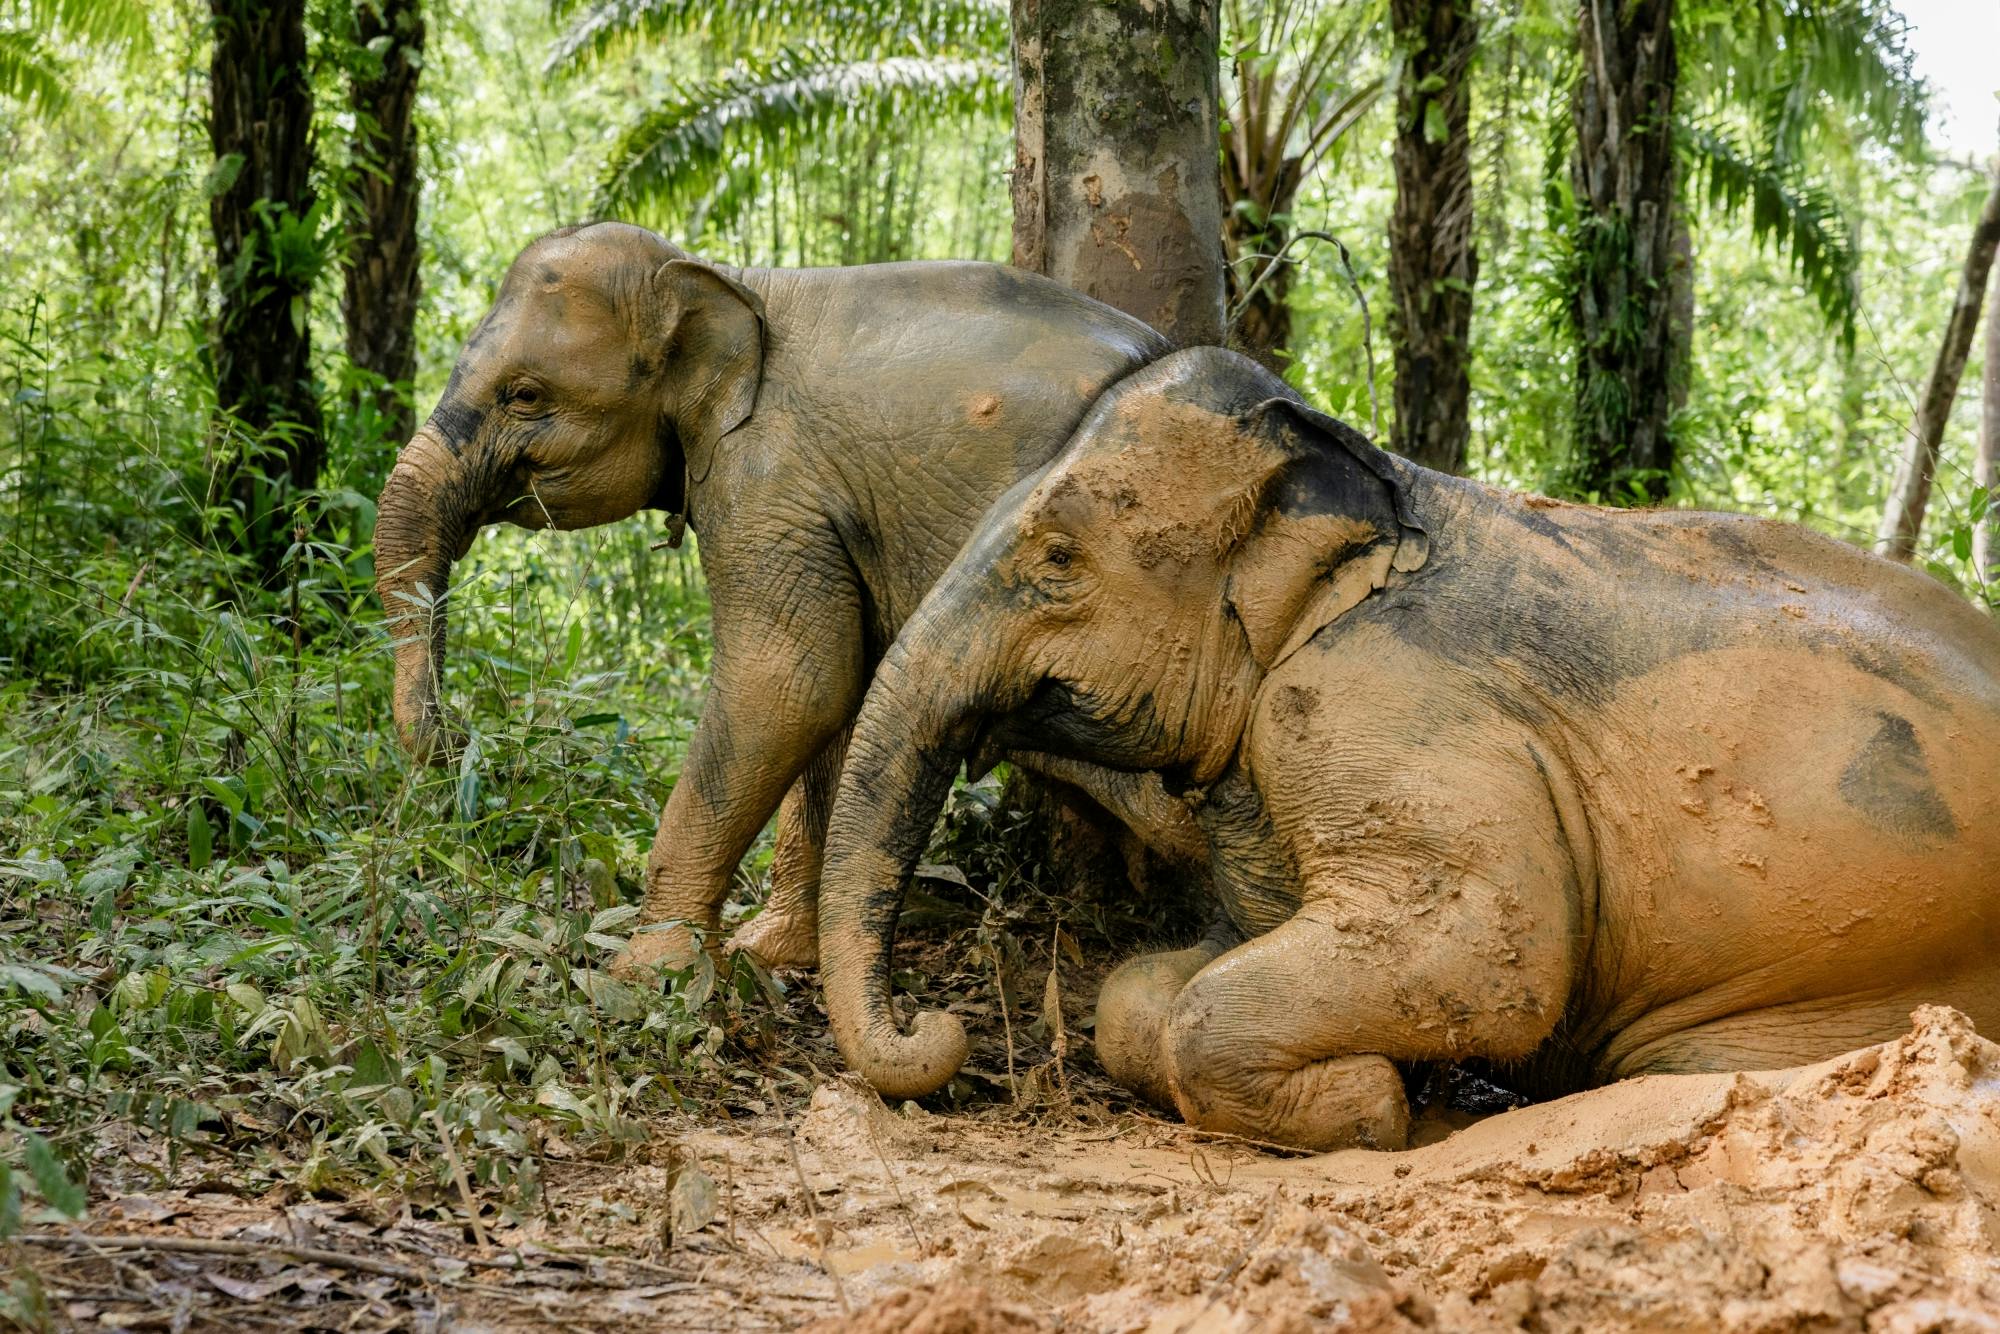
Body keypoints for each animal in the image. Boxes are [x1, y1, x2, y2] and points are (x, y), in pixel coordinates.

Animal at [373, 220, 1181, 973]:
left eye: (525, 395)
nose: (458, 742)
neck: (731, 281)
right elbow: (850, 687)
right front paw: (773, 952)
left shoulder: (769, 480)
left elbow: (791, 680)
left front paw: (652, 974)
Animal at [814, 345, 2000, 1152]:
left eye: (1057, 558)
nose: (929, 1026)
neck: (1373, 482)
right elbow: (1145, 993)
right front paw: (1389, 1079)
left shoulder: (1368, 705)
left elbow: (1496, 954)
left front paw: (1373, 1105)